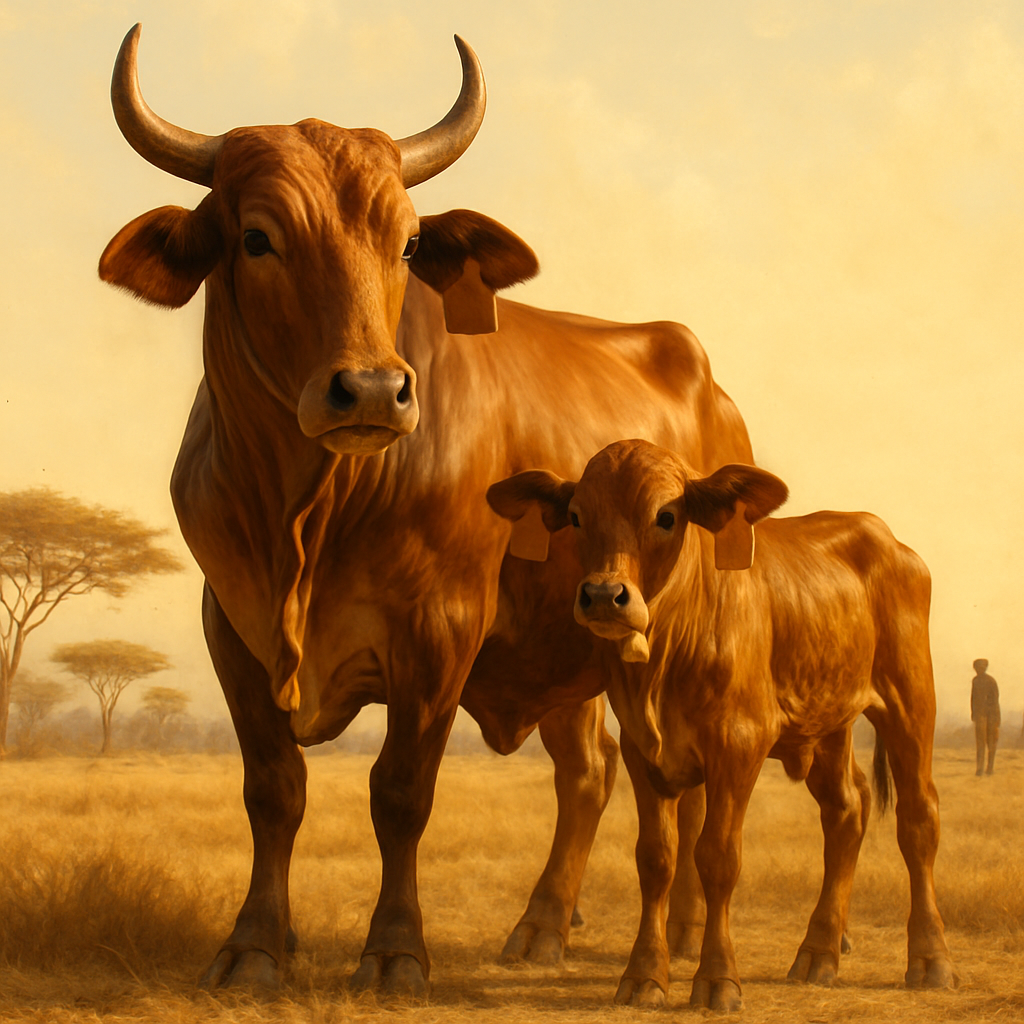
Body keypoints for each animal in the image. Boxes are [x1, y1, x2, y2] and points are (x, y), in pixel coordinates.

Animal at [98, 26, 754, 996]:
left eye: (407, 245)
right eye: (256, 237)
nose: (372, 389)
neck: (308, 517)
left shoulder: (440, 630)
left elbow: (401, 792)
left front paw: (396, 951)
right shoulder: (232, 623)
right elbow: (273, 788)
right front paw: (258, 943)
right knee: (589, 774)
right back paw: (547, 927)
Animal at [487, 438, 955, 1011]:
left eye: (666, 516)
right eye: (576, 517)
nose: (602, 595)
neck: (668, 654)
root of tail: (884, 536)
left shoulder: (739, 745)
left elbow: (718, 858)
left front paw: (717, 978)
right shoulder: (644, 750)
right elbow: (657, 859)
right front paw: (644, 975)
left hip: (910, 699)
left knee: (918, 819)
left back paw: (931, 959)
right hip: (828, 722)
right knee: (846, 813)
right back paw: (819, 952)